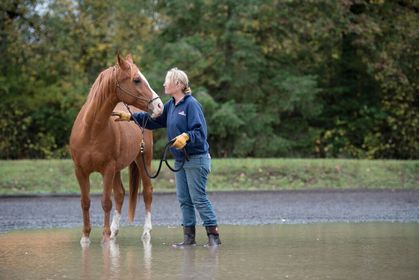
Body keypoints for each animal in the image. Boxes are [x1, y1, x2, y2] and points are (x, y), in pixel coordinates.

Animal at [69, 54, 163, 245]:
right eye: (136, 80)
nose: (159, 106)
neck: (91, 130)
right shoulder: (80, 171)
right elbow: (85, 202)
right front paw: (86, 237)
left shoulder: (108, 169)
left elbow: (106, 202)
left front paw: (104, 236)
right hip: (118, 169)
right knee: (120, 194)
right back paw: (114, 231)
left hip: (143, 160)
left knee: (147, 192)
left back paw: (145, 232)